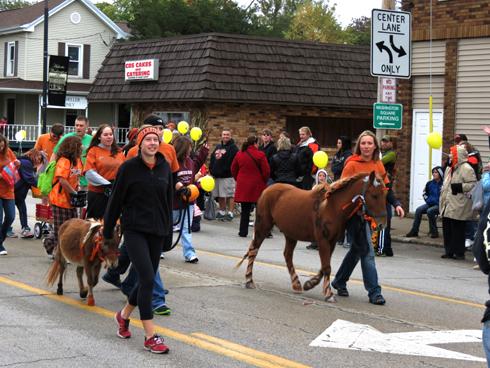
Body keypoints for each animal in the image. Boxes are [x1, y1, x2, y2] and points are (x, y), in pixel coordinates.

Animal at [236, 172, 386, 302]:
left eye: (384, 194)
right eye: (374, 195)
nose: (382, 224)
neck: (332, 207)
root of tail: (267, 190)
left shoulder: (331, 241)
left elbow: (324, 266)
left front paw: (310, 283)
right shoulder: (322, 240)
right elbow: (326, 267)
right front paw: (328, 294)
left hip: (291, 234)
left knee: (287, 255)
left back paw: (296, 284)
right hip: (263, 227)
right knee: (254, 251)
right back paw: (249, 280)